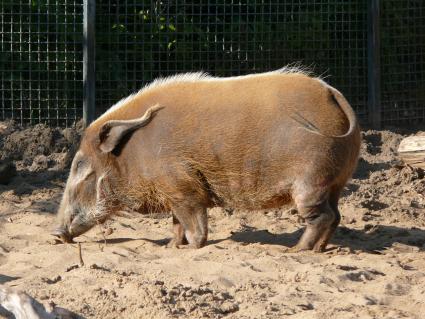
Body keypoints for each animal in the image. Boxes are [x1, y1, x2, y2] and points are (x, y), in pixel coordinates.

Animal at [51, 68, 360, 252]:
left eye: (80, 167)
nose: (55, 233)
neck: (134, 151)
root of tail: (333, 93)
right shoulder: (173, 193)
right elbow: (176, 223)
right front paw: (169, 247)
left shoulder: (183, 187)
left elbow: (194, 227)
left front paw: (189, 248)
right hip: (335, 183)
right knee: (336, 216)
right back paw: (318, 249)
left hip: (312, 183)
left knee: (323, 217)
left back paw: (297, 250)